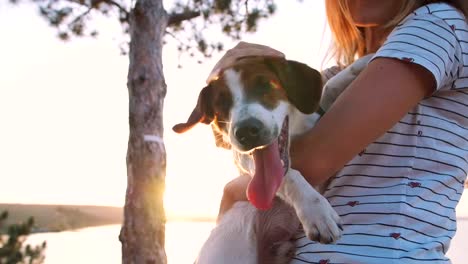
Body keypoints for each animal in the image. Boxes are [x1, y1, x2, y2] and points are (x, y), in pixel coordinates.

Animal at [173, 53, 372, 262]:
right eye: (221, 104)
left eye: (266, 86)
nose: (246, 132)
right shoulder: (242, 157)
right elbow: (290, 176)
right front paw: (316, 212)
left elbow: (327, 88)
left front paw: (361, 63)